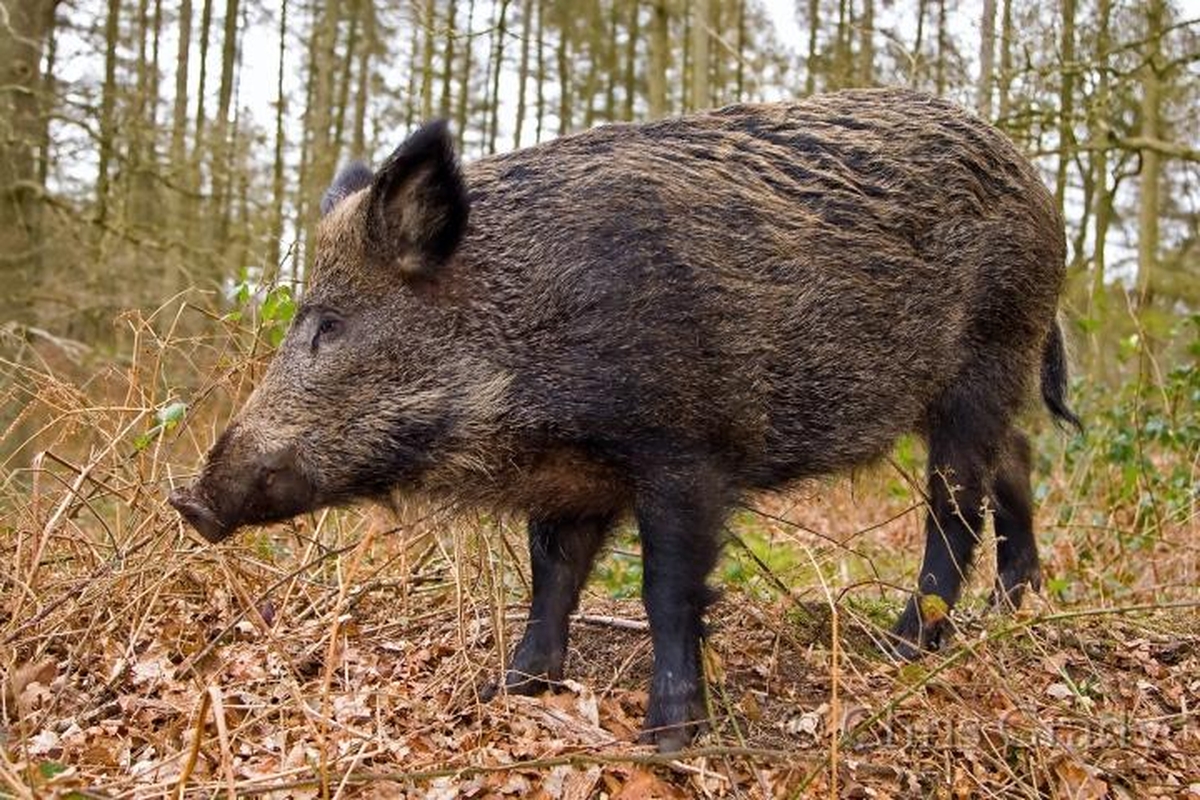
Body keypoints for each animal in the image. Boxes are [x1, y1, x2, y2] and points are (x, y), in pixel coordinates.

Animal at [169, 87, 1080, 752]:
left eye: (328, 326)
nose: (190, 500)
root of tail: (1035, 178)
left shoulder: (686, 451)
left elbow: (665, 590)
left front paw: (668, 739)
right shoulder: (568, 480)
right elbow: (551, 580)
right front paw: (510, 689)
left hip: (986, 355)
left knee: (954, 505)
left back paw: (899, 646)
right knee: (1016, 458)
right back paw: (1019, 602)